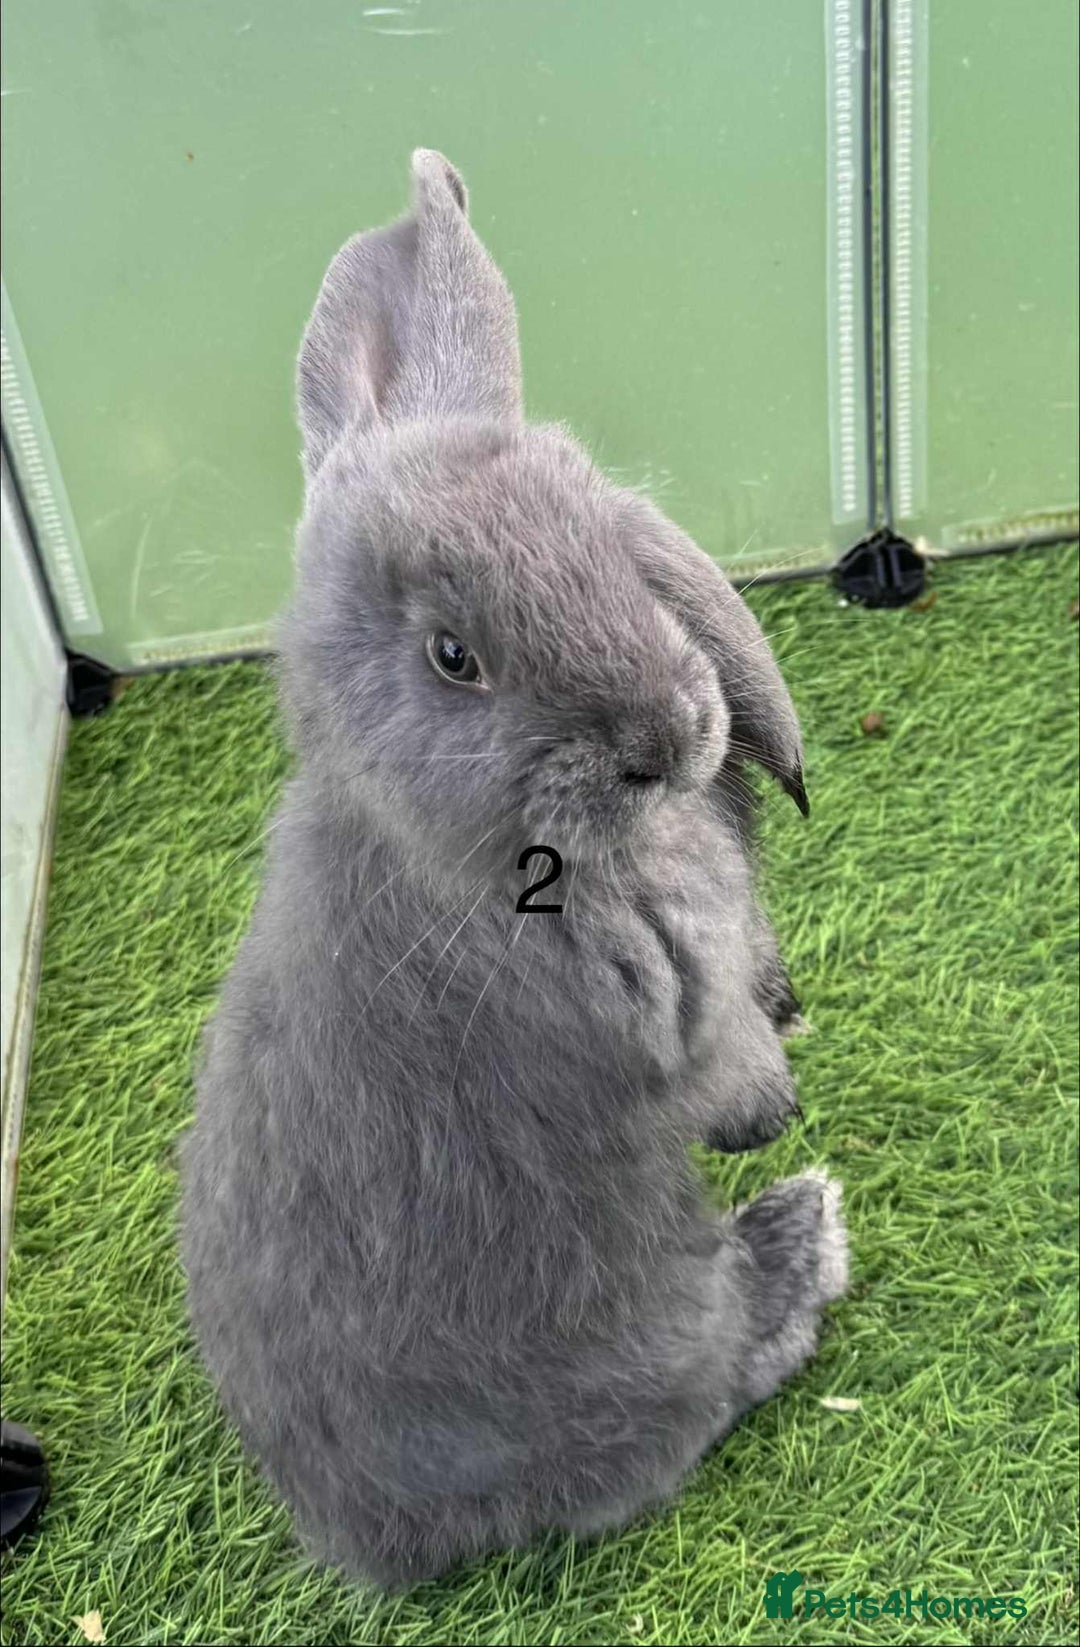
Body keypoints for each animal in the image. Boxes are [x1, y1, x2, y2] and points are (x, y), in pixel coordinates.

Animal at [181, 149, 848, 1589]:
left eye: (605, 536)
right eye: (453, 657)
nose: (671, 734)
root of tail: (369, 1531)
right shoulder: (657, 994)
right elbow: (712, 1060)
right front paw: (770, 1104)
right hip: (646, 1334)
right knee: (703, 1384)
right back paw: (801, 1235)